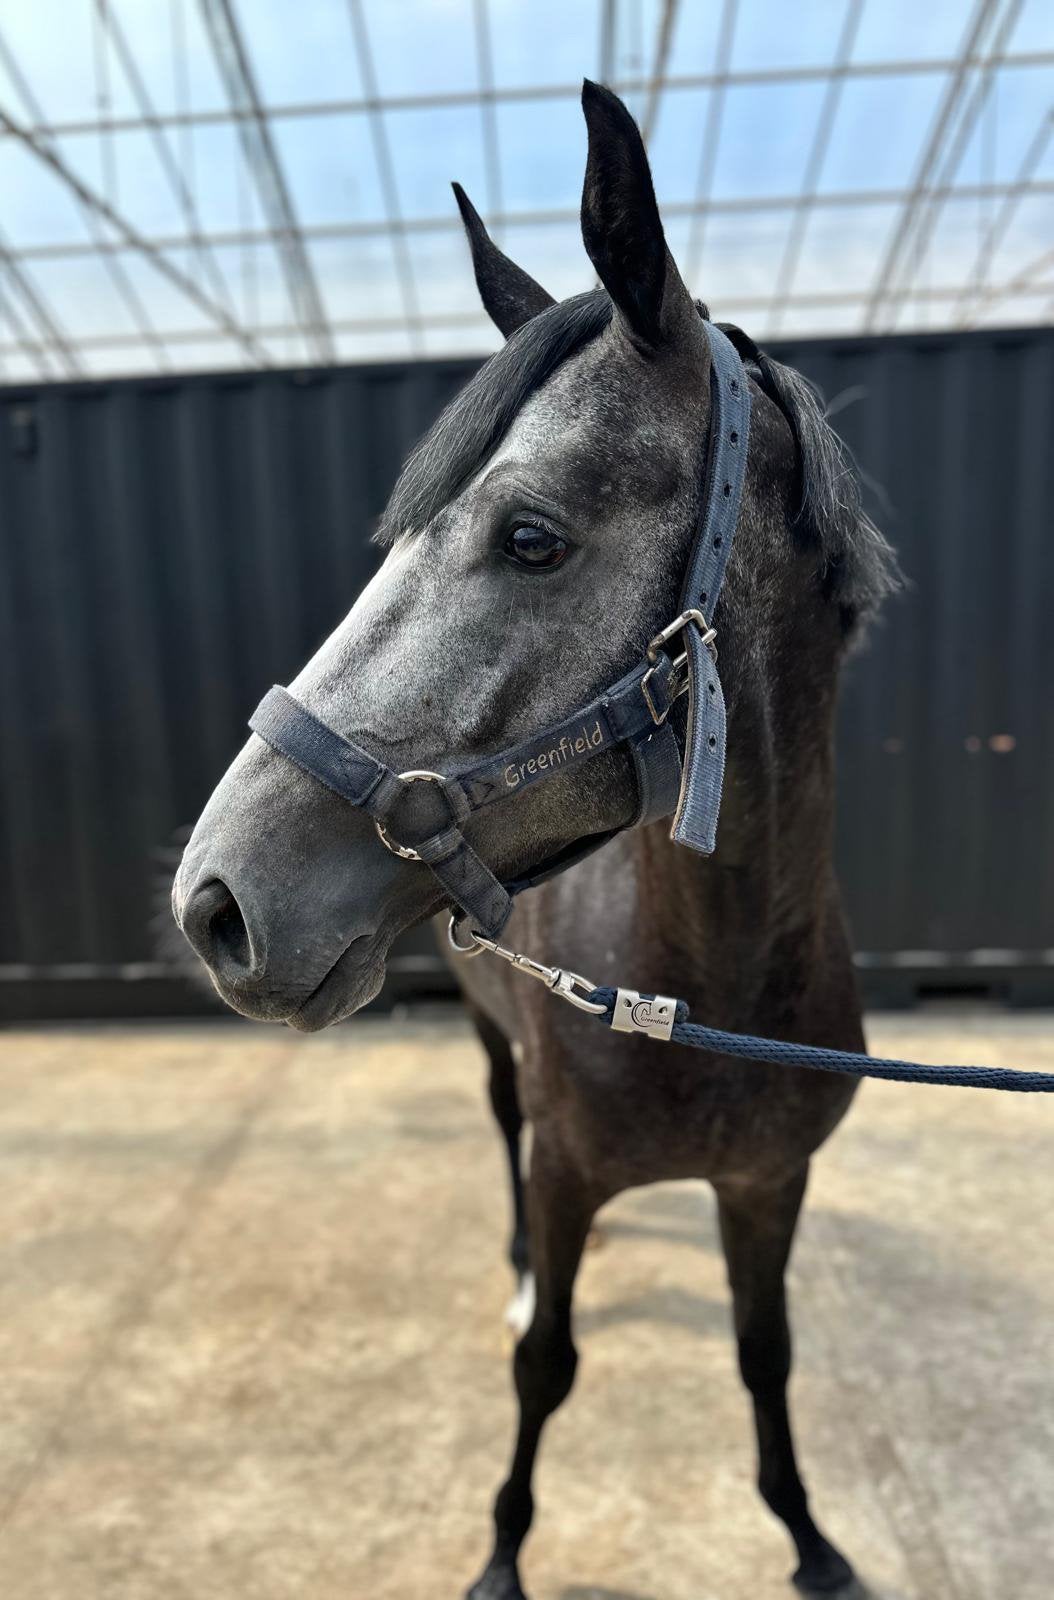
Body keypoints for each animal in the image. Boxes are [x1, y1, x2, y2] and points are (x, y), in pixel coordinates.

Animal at [173, 81, 897, 1600]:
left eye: (528, 537)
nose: (216, 902)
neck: (705, 987)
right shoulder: (567, 1171)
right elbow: (545, 1364)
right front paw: (501, 1553)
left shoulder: (770, 1182)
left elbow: (766, 1353)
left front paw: (810, 1539)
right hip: (488, 1042)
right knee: (500, 1132)